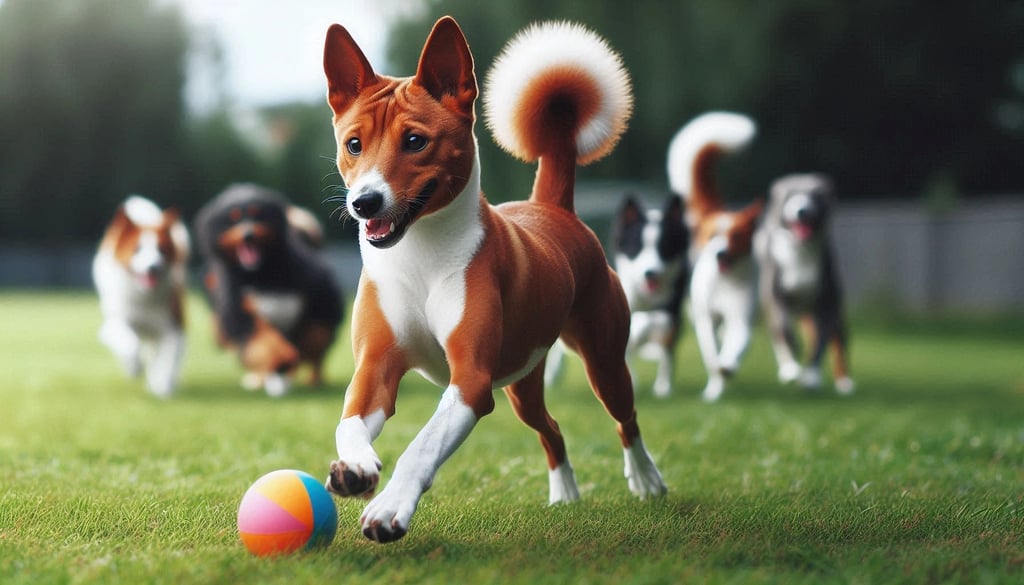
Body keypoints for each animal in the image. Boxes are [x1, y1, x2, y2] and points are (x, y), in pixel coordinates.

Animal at [92, 196, 190, 397]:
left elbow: (166, 362)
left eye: (161, 250)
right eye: (137, 249)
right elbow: (130, 343)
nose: (153, 267)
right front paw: (134, 367)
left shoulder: (173, 328)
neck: (144, 297)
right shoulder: (114, 322)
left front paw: (161, 387)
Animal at [193, 183, 346, 397]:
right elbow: (263, 344)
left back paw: (313, 378)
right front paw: (281, 360)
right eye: (233, 219)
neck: (261, 273)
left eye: (257, 214)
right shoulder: (244, 317)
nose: (248, 234)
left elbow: (315, 337)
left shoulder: (320, 299)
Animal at [323, 14, 667, 545]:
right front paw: (356, 468)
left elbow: (423, 445)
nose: (365, 203)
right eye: (353, 144)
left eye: (415, 141)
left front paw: (390, 507)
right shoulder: (375, 368)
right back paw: (565, 495)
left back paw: (647, 479)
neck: (420, 256)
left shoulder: (470, 379)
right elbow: (349, 424)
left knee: (625, 419)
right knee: (551, 428)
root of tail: (553, 207)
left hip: (604, 362)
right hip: (522, 383)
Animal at [667, 111, 765, 403]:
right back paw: (714, 389)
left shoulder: (741, 318)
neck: (726, 282)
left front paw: (728, 365)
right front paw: (716, 375)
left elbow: (736, 346)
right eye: (713, 237)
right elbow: (711, 352)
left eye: (737, 236)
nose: (720, 251)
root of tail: (716, 209)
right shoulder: (705, 319)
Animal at [753, 173, 856, 393]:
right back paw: (788, 368)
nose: (802, 211)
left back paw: (844, 382)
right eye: (790, 195)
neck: (801, 251)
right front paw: (793, 368)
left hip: (830, 313)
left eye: (815, 195)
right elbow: (784, 331)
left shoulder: (827, 304)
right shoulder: (777, 297)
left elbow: (821, 341)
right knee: (779, 333)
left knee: (838, 341)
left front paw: (811, 377)